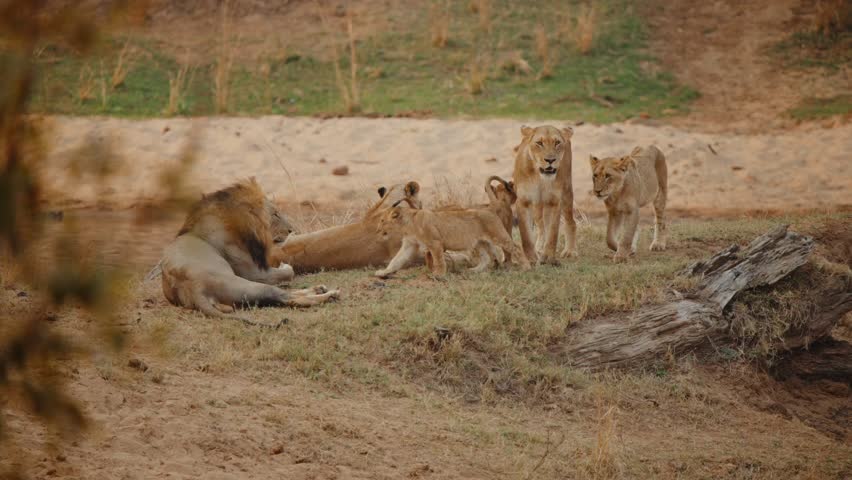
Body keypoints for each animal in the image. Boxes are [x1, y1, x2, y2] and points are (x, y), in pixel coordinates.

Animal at [160, 179, 339, 326]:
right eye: (275, 214)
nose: (291, 230)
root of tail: (194, 288)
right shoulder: (252, 272)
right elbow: (288, 272)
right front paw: (286, 267)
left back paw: (319, 289)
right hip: (243, 284)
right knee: (286, 297)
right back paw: (330, 295)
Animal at [374, 176, 516, 277]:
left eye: (382, 220)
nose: (377, 230)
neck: (407, 224)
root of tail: (490, 208)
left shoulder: (435, 242)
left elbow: (438, 259)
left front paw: (439, 275)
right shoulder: (409, 244)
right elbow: (396, 260)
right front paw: (383, 272)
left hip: (498, 236)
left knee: (513, 247)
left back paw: (518, 266)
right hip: (479, 241)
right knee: (488, 257)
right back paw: (476, 270)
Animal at [512, 125, 577, 264]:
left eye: (557, 142)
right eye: (539, 143)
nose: (550, 160)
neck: (540, 177)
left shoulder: (554, 202)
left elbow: (552, 233)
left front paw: (548, 257)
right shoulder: (523, 202)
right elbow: (525, 235)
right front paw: (531, 258)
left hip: (567, 193)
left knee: (571, 222)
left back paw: (569, 251)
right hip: (537, 206)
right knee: (541, 226)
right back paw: (538, 248)